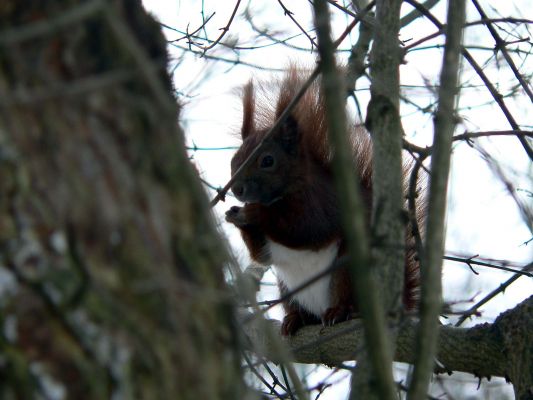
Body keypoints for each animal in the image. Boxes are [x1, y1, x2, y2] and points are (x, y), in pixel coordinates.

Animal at [224, 67, 420, 336]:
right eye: (235, 158)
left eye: (267, 160)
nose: (237, 189)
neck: (279, 198)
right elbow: (261, 255)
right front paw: (236, 217)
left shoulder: (324, 202)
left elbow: (309, 229)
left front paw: (254, 213)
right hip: (288, 289)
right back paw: (296, 319)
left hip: (349, 270)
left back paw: (341, 311)